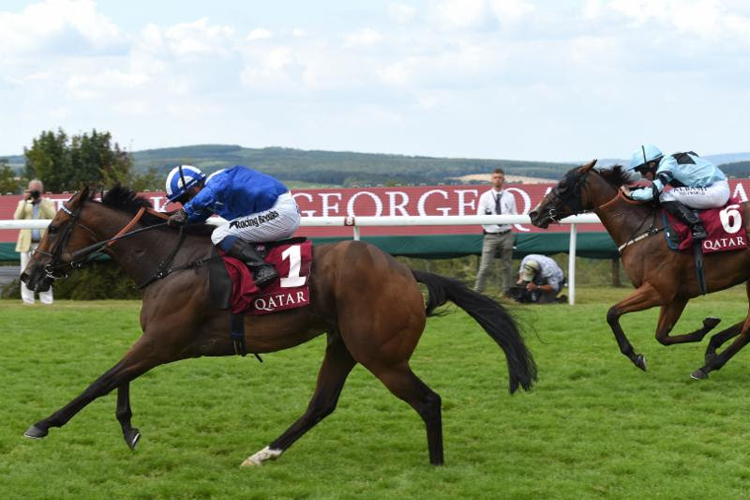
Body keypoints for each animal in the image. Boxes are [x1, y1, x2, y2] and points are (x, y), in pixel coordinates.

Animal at [20, 186, 536, 466]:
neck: (169, 259)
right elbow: (118, 379)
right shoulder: (160, 341)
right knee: (321, 404)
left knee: (428, 401)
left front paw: (43, 424)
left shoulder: (164, 340)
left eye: (53, 229)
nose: (29, 275)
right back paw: (263, 454)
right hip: (344, 344)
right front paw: (129, 430)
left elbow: (102, 380)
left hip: (381, 354)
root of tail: (406, 272)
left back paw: (436, 467)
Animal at [532, 160, 750, 378]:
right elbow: (661, 335)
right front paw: (705, 329)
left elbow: (612, 313)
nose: (534, 214)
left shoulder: (659, 289)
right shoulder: (677, 295)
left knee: (748, 329)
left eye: (563, 186)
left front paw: (635, 357)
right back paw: (713, 347)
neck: (643, 229)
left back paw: (708, 366)